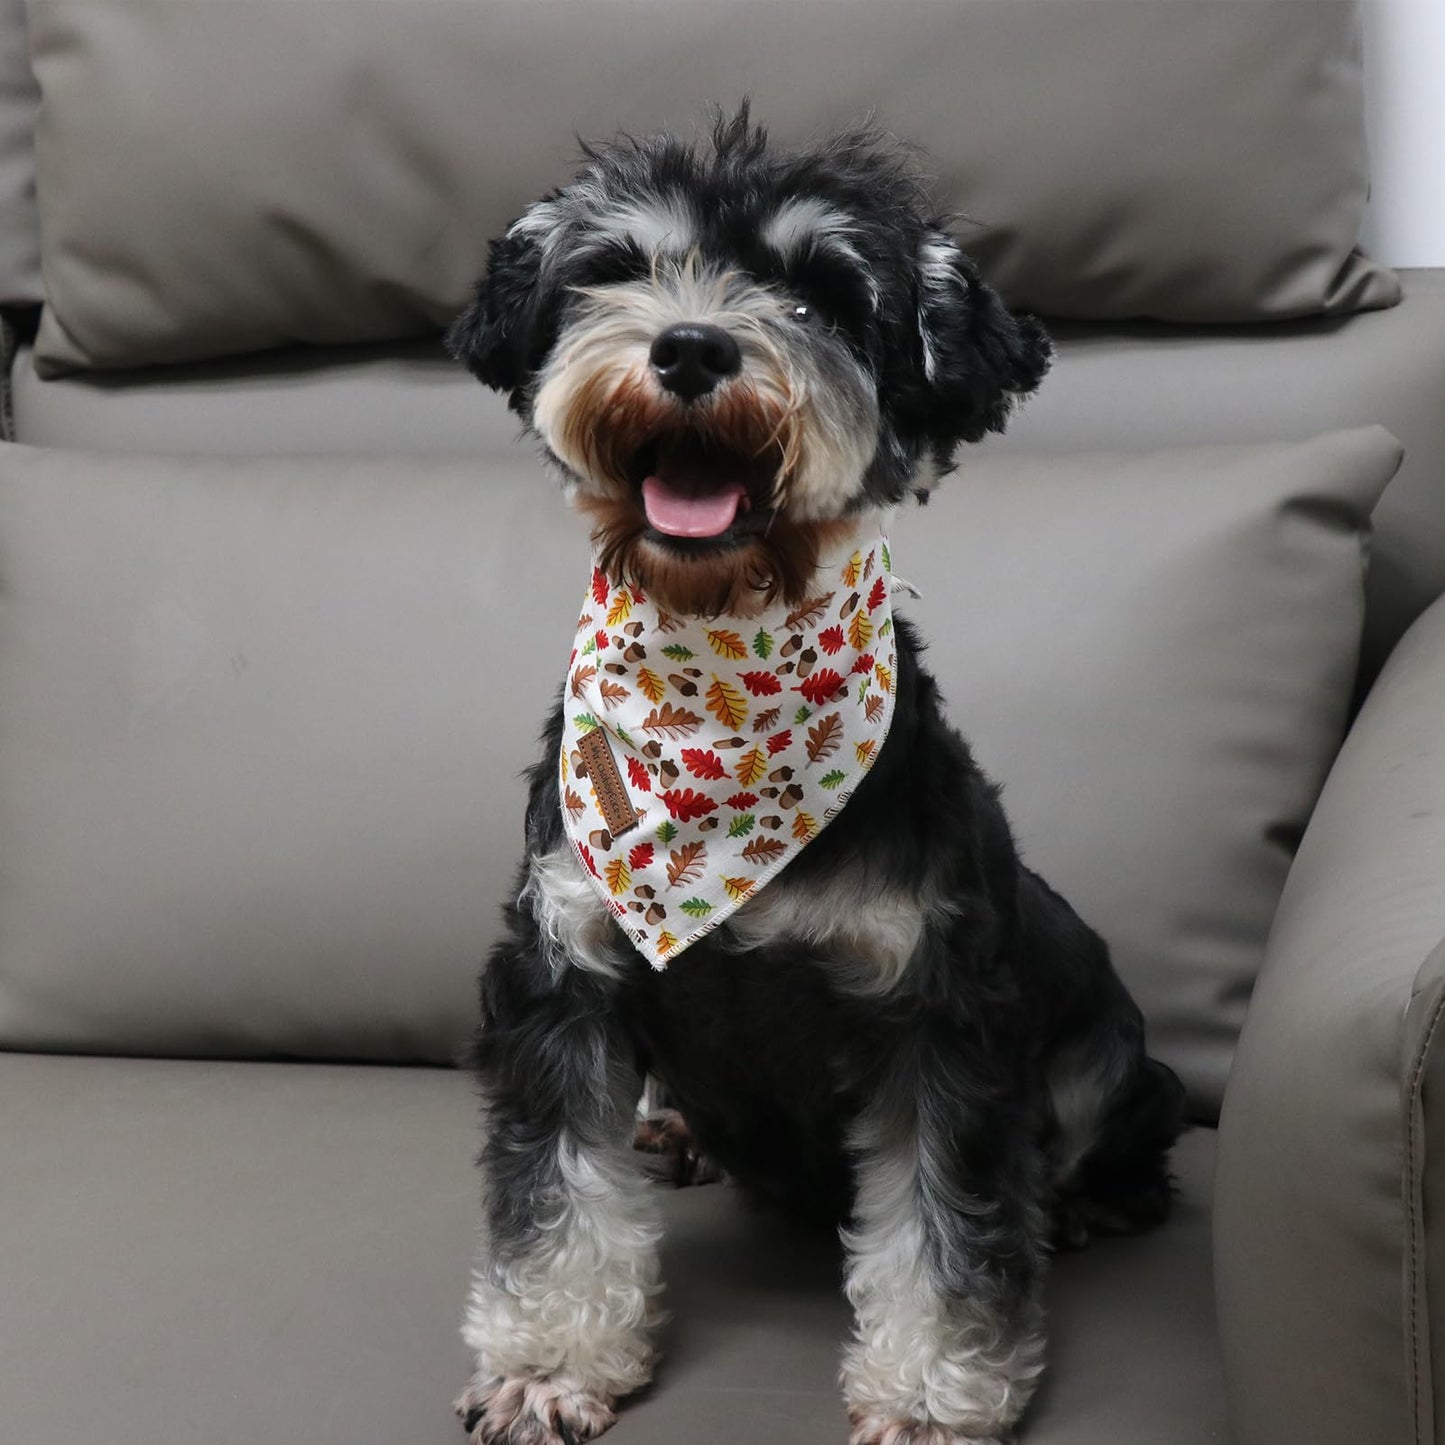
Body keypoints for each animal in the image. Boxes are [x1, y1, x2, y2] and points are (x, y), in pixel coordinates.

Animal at [447, 106, 1184, 1439]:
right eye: (613, 267)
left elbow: (944, 1236)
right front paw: (548, 1360)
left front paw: (934, 1393)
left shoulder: (937, 1018)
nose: (690, 345)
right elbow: (558, 1206)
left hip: (1107, 1056)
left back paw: (1087, 1200)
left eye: (823, 294)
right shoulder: (563, 978)